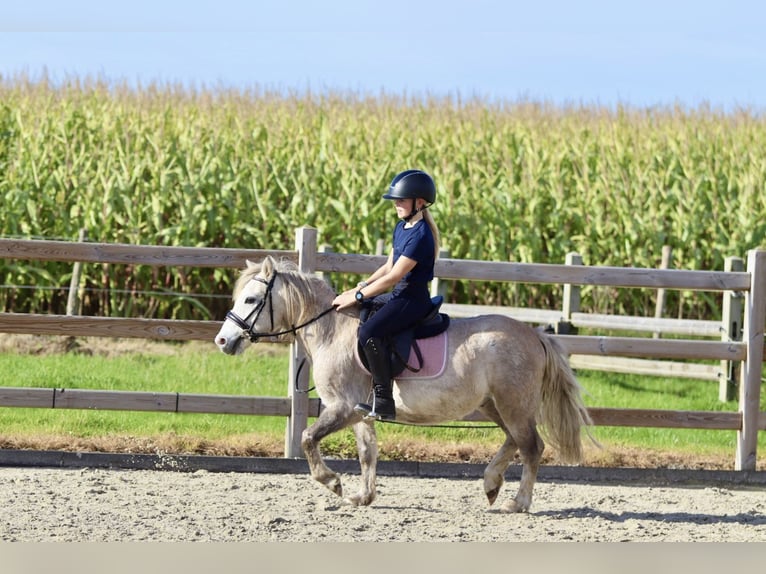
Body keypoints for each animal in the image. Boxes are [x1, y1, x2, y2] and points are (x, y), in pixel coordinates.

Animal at [213, 256, 596, 512]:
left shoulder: (341, 408)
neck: (331, 331)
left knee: (531, 447)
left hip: (512, 404)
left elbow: (307, 438)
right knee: (514, 440)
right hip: (495, 405)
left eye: (250, 300)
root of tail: (534, 335)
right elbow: (367, 453)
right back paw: (490, 484)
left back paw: (518, 502)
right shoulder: (360, 413)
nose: (222, 341)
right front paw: (362, 496)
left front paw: (333, 483)